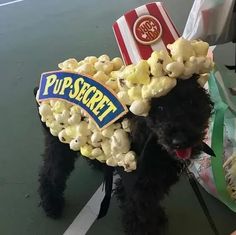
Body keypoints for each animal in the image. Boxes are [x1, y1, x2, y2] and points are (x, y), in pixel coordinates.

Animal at [35, 75, 214, 235]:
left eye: (191, 102)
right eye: (159, 108)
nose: (180, 141)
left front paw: (158, 218)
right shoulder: (138, 191)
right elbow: (140, 220)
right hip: (59, 145)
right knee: (50, 173)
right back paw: (51, 204)